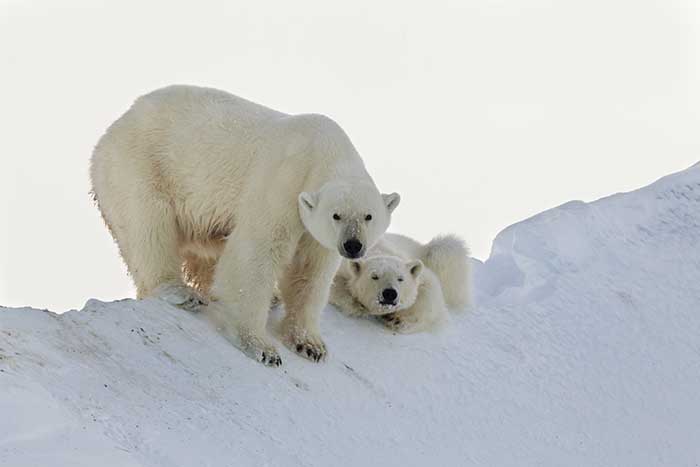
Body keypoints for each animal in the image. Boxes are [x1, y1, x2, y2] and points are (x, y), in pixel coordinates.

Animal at [91, 86, 400, 368]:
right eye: (336, 215)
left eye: (368, 216)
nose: (353, 245)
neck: (325, 151)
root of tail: (115, 126)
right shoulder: (282, 183)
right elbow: (255, 253)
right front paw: (262, 347)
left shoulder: (317, 233)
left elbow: (310, 273)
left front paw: (310, 344)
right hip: (141, 165)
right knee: (149, 225)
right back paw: (180, 292)